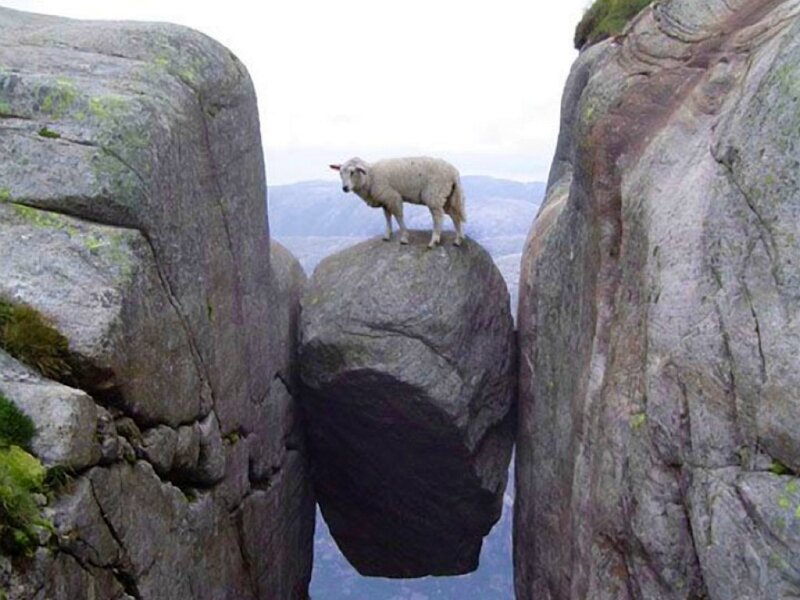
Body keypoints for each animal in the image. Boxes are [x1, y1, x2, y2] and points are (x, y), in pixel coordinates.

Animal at [329, 156, 467, 248]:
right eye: (340, 172)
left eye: (352, 172)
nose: (345, 188)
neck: (370, 176)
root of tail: (454, 172)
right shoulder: (385, 199)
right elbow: (387, 217)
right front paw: (387, 235)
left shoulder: (393, 197)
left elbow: (398, 217)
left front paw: (404, 237)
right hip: (448, 196)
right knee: (455, 216)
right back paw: (458, 240)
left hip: (434, 194)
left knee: (438, 217)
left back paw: (434, 241)